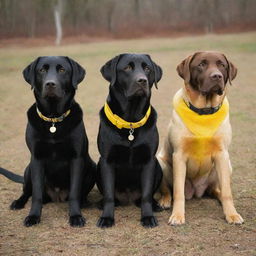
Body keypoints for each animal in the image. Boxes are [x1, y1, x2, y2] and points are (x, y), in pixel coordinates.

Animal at [0, 56, 95, 226]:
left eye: (62, 70)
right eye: (42, 70)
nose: (50, 84)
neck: (53, 120)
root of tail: (57, 197)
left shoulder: (76, 158)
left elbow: (74, 193)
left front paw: (76, 216)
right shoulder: (36, 159)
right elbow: (36, 194)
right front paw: (33, 216)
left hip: (92, 166)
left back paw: (85, 202)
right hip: (29, 169)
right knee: (27, 192)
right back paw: (18, 202)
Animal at [95, 53, 163, 228]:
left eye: (147, 68)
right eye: (127, 68)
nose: (142, 80)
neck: (130, 121)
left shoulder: (149, 160)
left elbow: (146, 194)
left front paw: (148, 217)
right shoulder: (106, 160)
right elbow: (109, 195)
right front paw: (107, 218)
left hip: (158, 166)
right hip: (98, 166)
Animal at [158, 51, 244, 225]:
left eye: (222, 65)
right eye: (201, 64)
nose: (216, 76)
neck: (203, 112)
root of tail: (195, 191)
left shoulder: (222, 154)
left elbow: (227, 191)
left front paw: (232, 214)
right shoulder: (179, 156)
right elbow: (178, 192)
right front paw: (177, 215)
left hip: (227, 165)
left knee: (216, 190)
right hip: (161, 163)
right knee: (168, 190)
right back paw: (164, 201)